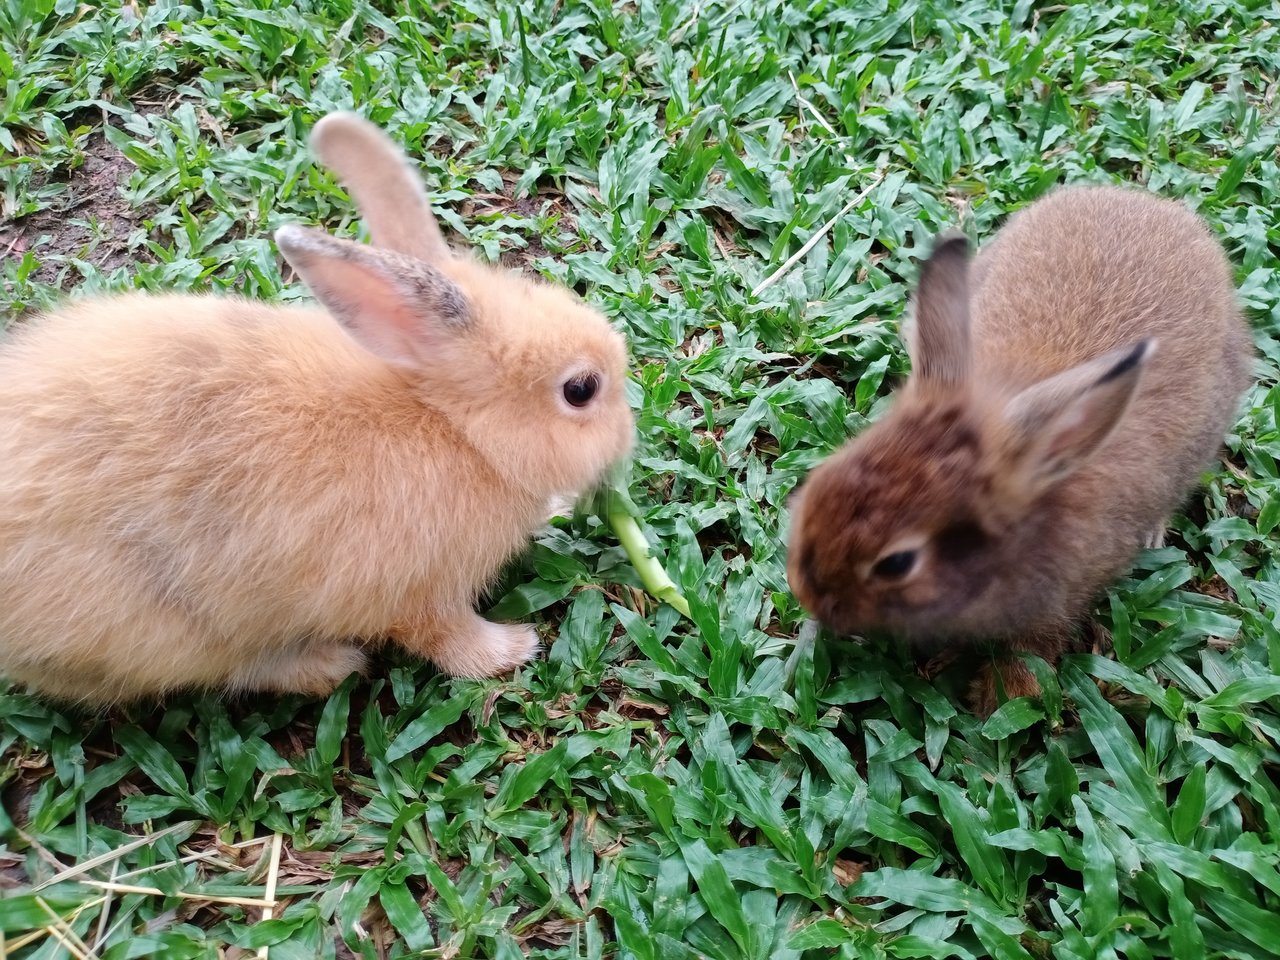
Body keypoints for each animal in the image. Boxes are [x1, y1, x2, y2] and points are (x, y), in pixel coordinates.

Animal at [0, 112, 637, 706]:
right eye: (581, 390)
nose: (628, 437)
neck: (457, 429)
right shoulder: (415, 593)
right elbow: (444, 637)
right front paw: (511, 650)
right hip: (176, 635)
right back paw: (329, 665)